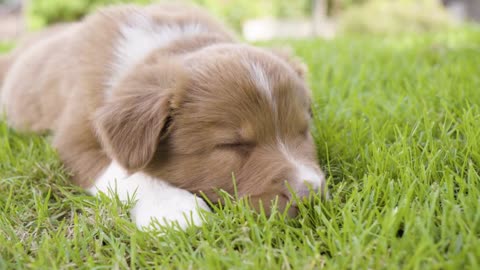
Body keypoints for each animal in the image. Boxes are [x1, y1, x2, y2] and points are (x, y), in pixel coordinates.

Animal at [0, 3, 326, 230]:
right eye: (231, 145)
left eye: (303, 131)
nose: (311, 196)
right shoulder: (76, 140)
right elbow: (127, 173)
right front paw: (176, 209)